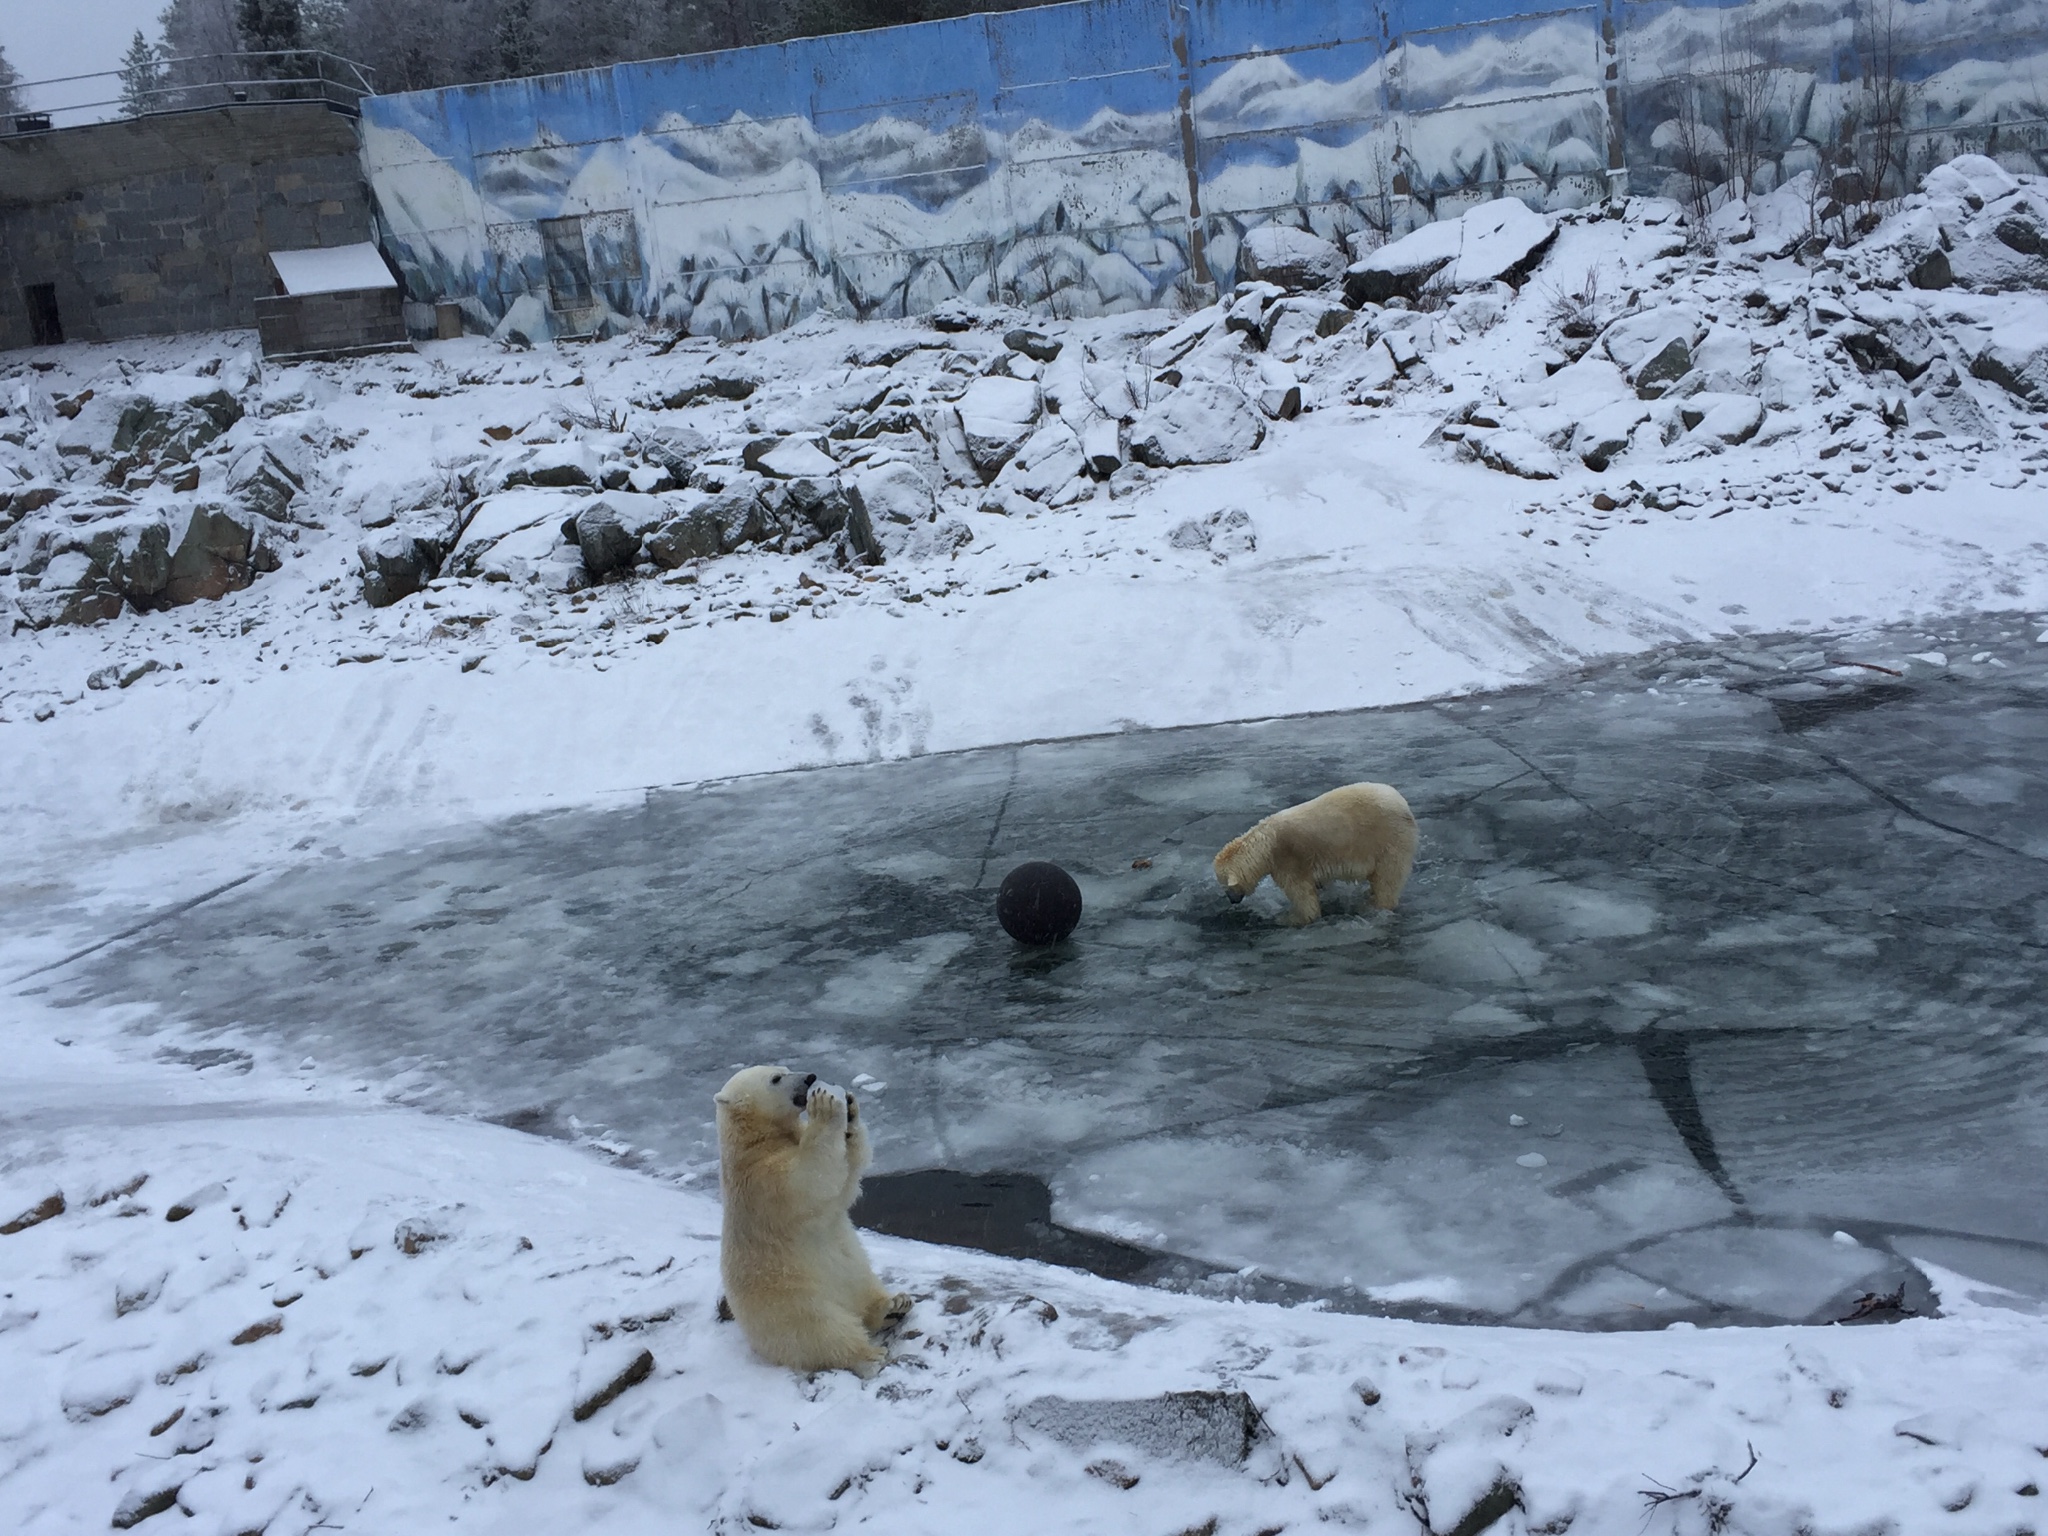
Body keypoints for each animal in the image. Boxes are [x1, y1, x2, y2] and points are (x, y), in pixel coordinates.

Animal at [720, 1064, 913, 1376]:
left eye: (784, 1068)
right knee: (824, 1331)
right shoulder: (764, 1180)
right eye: (776, 1078)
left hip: (853, 1271)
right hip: (792, 1301)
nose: (810, 1078)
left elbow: (846, 1182)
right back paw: (869, 1356)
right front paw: (825, 1107)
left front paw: (851, 1108)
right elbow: (812, 1177)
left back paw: (894, 1304)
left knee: (863, 1286)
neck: (755, 1142)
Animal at [1204, 782, 1417, 925]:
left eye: (1224, 883)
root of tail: (1404, 805)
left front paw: (1289, 918)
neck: (1266, 843)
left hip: (1388, 840)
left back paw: (1373, 905)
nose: (1231, 899)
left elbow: (1303, 897)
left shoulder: (1287, 860)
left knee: (1388, 879)